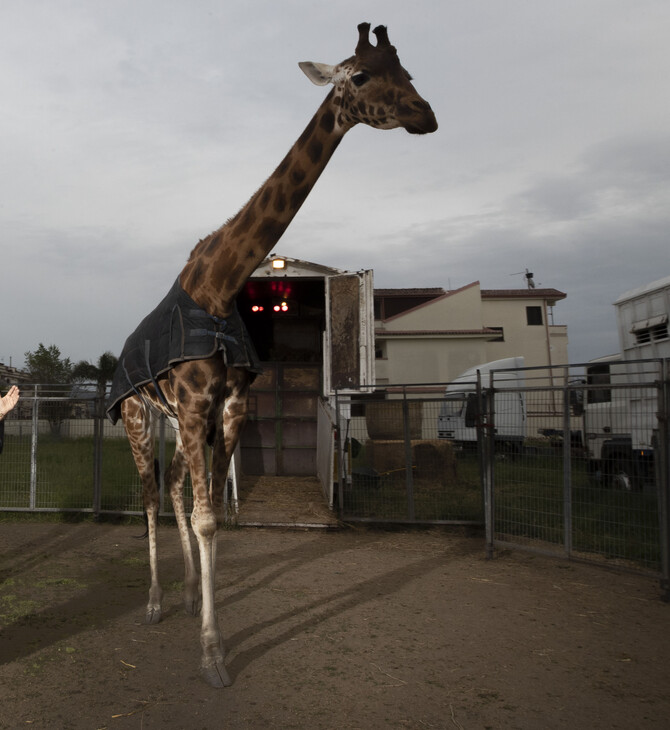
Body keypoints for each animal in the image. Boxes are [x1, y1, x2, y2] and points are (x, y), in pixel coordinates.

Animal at [113, 21, 438, 684]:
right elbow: (207, 517)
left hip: (175, 423)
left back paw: (188, 596)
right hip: (139, 417)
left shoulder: (228, 409)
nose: (427, 115)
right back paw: (156, 603)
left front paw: (206, 627)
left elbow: (213, 513)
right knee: (151, 495)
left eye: (408, 72)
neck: (221, 285)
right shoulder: (192, 409)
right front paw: (214, 656)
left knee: (176, 487)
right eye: (360, 75)